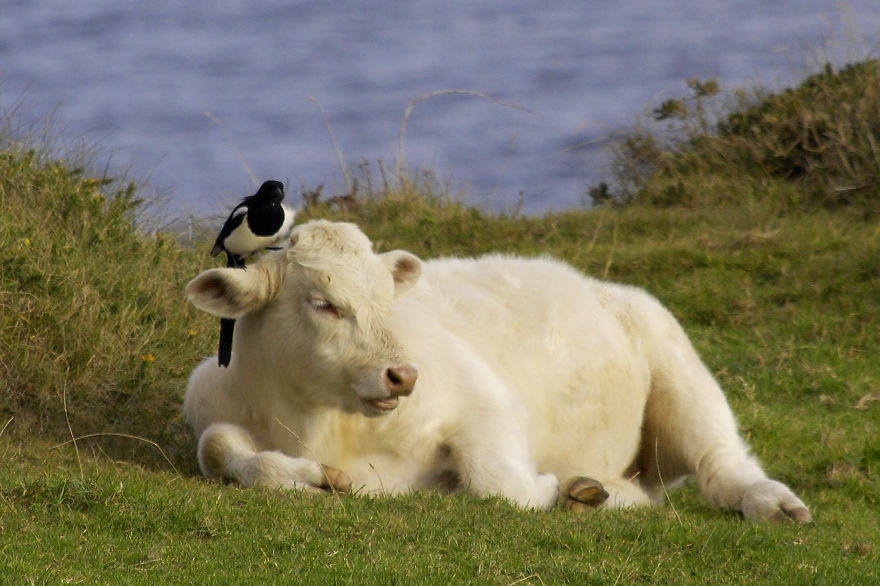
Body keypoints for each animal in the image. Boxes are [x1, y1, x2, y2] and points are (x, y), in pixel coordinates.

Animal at [184, 219, 812, 520]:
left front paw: (558, 488)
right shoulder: (209, 406)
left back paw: (770, 504)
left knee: (721, 463)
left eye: (388, 301)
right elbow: (217, 447)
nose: (403, 376)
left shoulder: (486, 403)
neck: (315, 426)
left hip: (679, 365)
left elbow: (498, 483)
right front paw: (303, 478)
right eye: (324, 303)